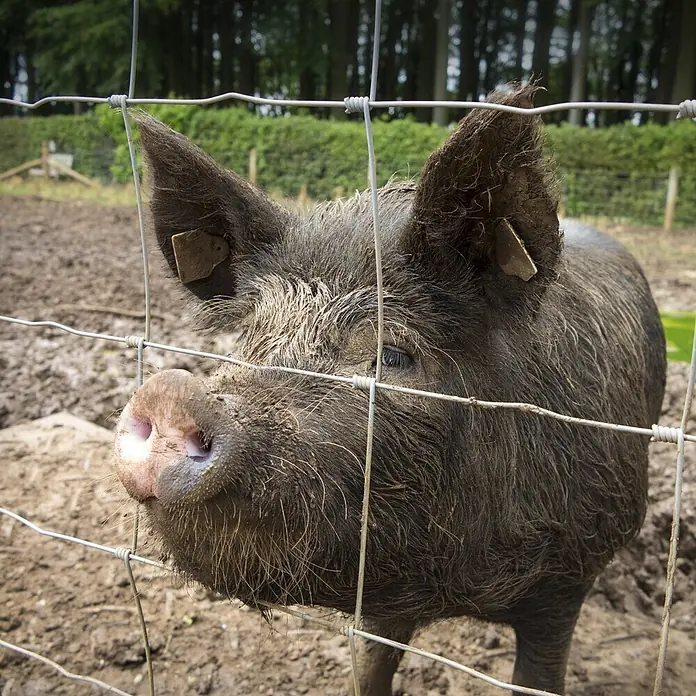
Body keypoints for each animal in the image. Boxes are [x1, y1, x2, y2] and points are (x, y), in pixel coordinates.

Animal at [113, 84, 667, 695]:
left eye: (395, 355)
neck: (461, 588)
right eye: (249, 337)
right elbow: (370, 666)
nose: (171, 391)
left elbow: (538, 676)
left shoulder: (567, 581)